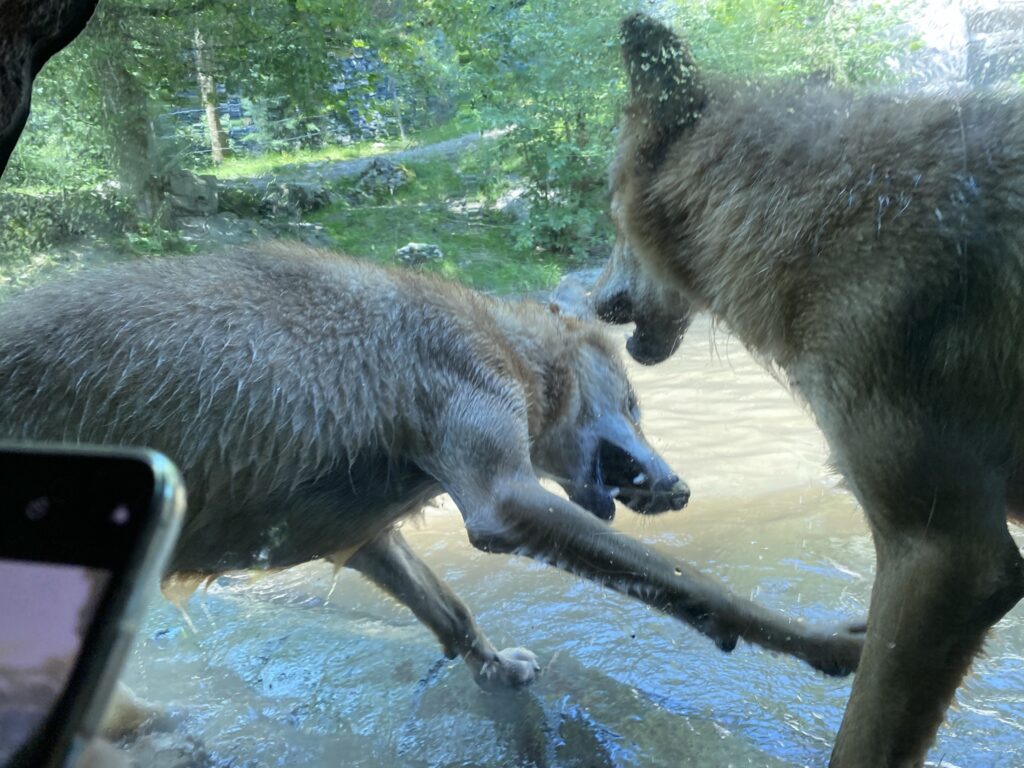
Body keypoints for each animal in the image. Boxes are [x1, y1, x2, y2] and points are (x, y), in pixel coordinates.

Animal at [0, 244, 861, 693]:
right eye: (637, 402)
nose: (681, 488)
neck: (510, 352)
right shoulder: (503, 500)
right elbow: (695, 581)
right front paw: (822, 643)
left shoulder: (359, 537)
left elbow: (450, 611)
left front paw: (496, 669)